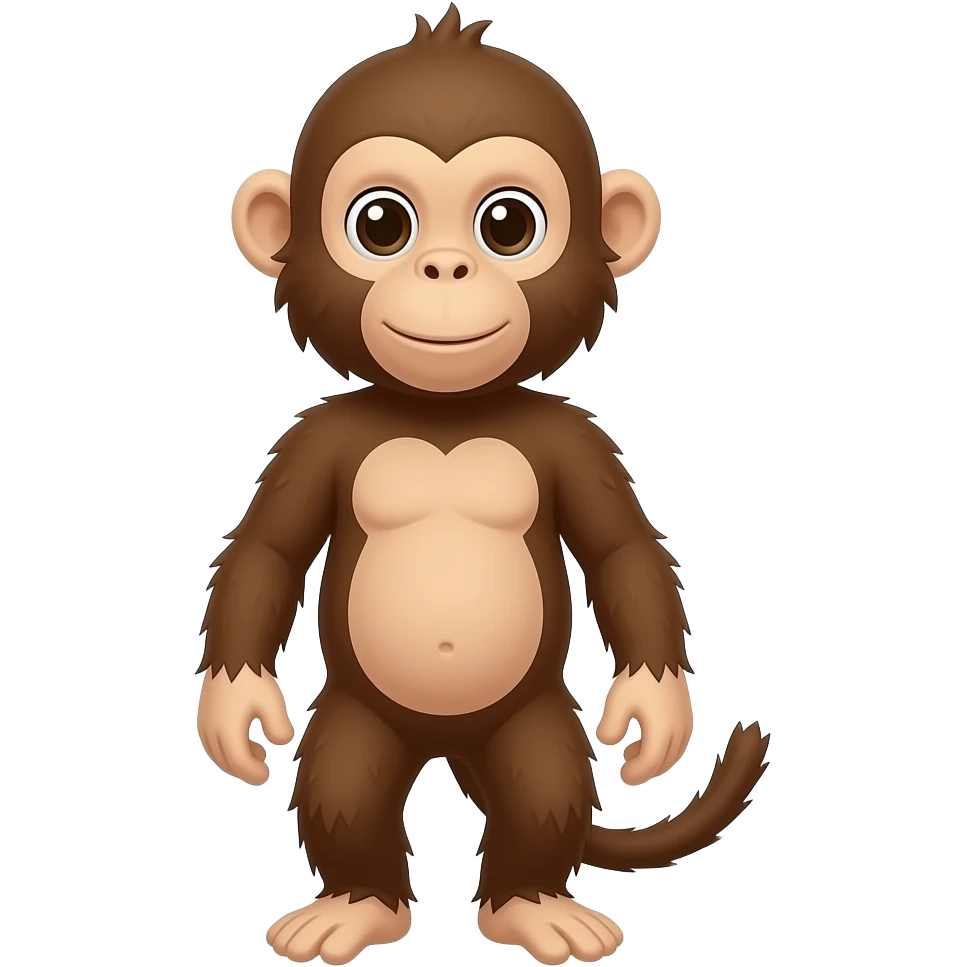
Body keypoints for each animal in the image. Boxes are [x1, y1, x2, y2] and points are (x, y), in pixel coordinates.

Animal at [195, 6, 771, 965]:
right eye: (380, 224)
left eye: (507, 223)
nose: (444, 270)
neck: (446, 415)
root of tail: (446, 744)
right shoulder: (311, 440)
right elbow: (266, 551)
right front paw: (234, 705)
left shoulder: (578, 439)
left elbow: (621, 550)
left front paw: (654, 709)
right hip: (359, 716)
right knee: (345, 783)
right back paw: (355, 903)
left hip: (531, 717)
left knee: (541, 785)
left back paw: (532, 904)